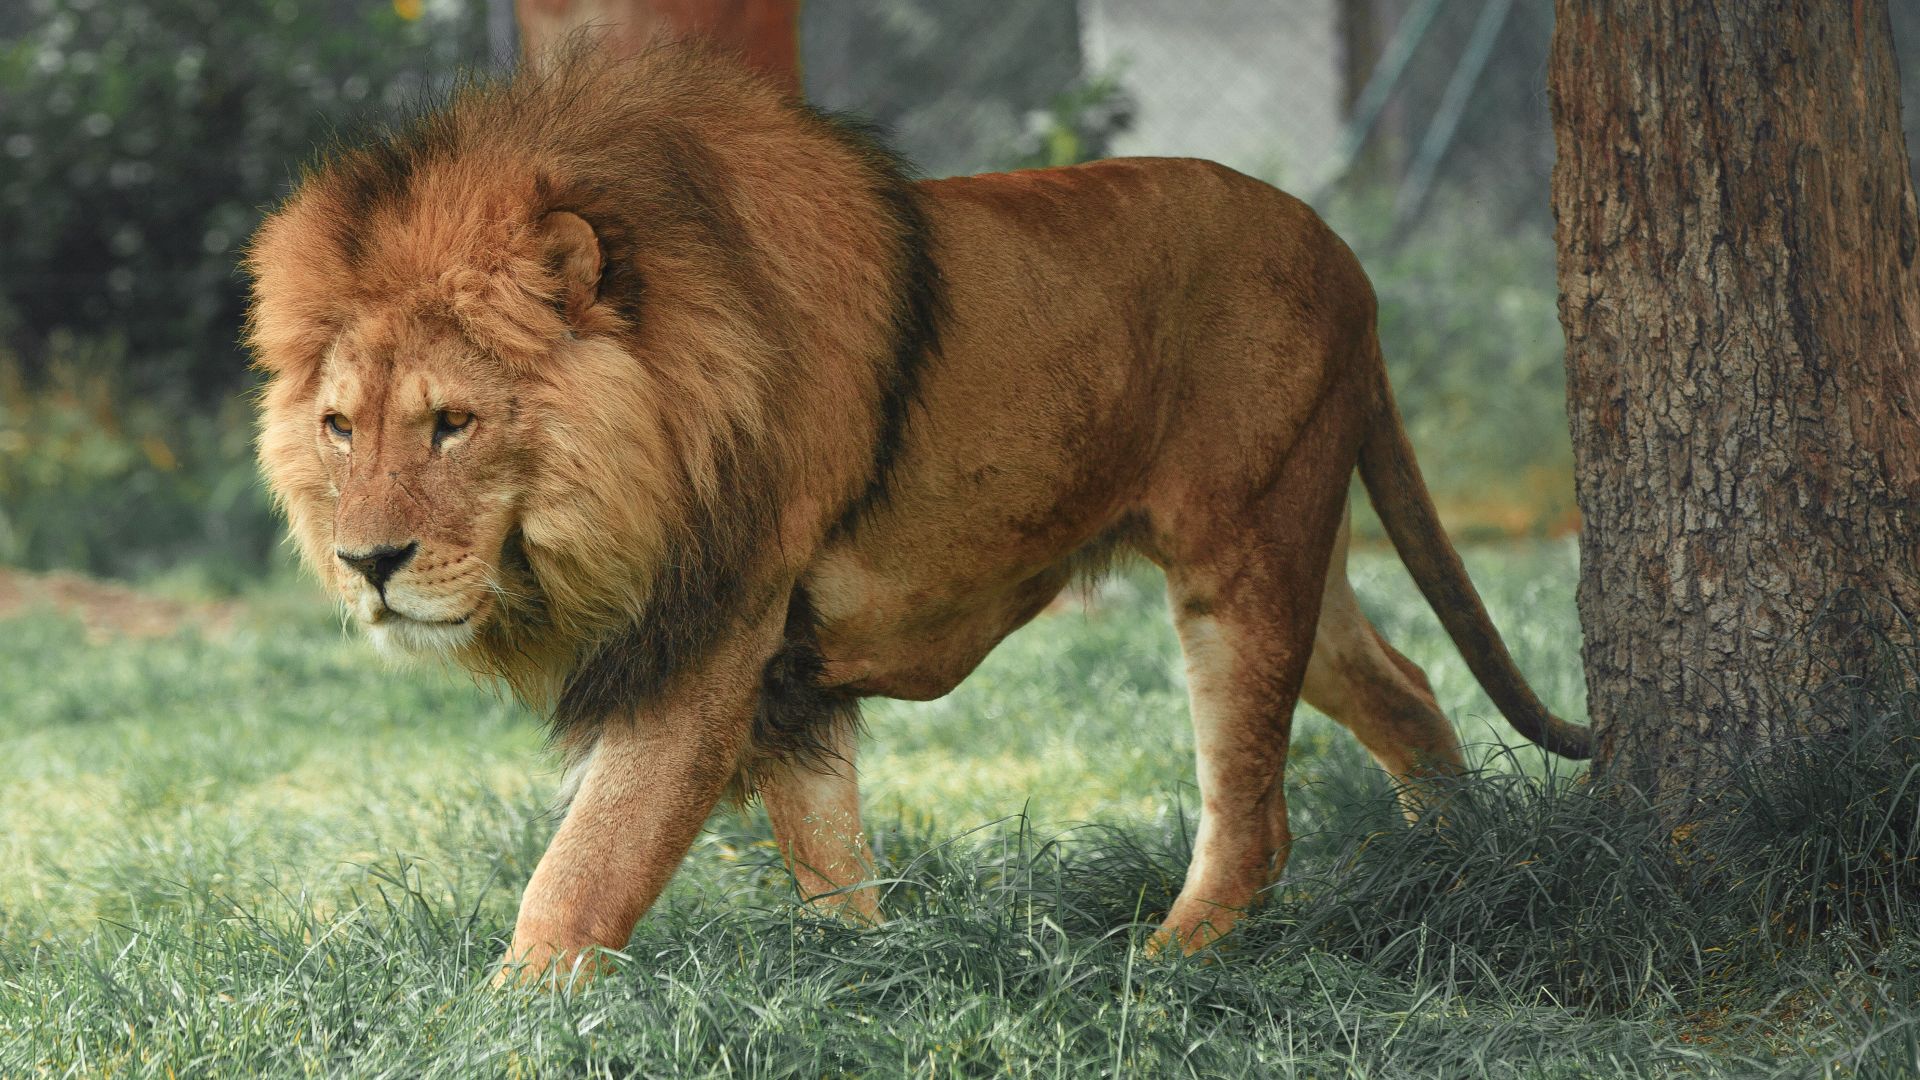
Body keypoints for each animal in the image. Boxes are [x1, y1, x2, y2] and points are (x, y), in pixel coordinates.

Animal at [246, 44, 1590, 981]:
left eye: (452, 423)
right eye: (340, 427)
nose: (368, 563)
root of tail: (1346, 257)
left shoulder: (713, 638)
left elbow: (587, 868)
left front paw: (506, 1020)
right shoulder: (782, 675)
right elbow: (829, 857)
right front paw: (866, 976)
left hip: (1244, 549)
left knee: (1255, 817)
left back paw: (1157, 972)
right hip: (1291, 539)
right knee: (1403, 684)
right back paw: (1463, 865)